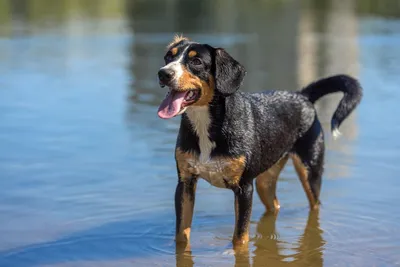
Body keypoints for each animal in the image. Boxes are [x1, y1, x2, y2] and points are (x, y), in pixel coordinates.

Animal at [156, 35, 362, 247]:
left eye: (196, 61)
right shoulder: (185, 183)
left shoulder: (244, 188)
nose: (163, 73)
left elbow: (240, 238)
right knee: (275, 206)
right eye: (168, 57)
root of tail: (302, 95)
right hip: (265, 181)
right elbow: (182, 235)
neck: (205, 123)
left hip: (310, 172)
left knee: (315, 205)